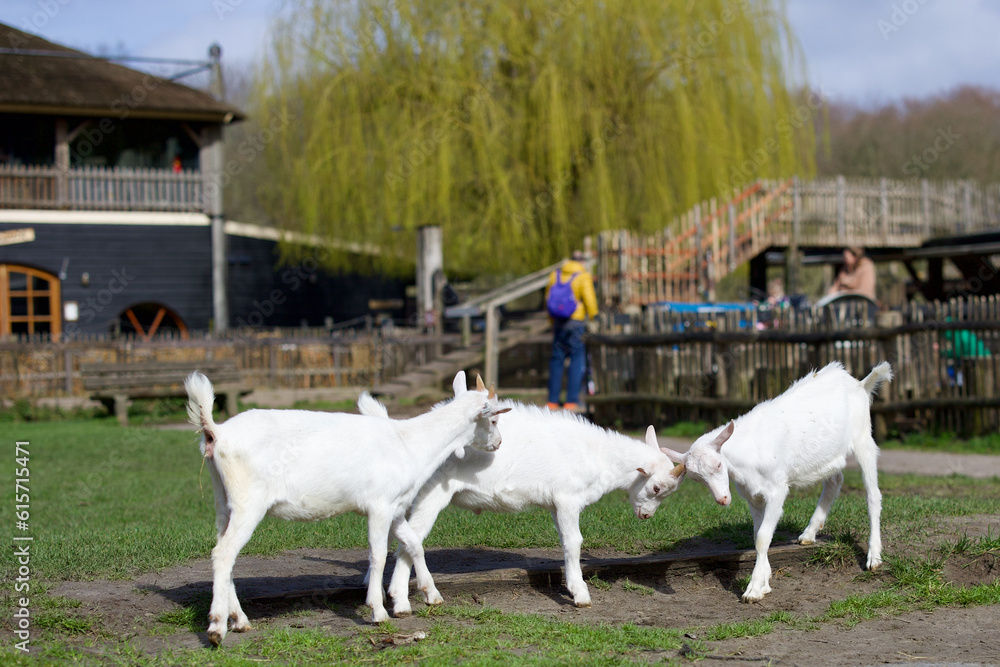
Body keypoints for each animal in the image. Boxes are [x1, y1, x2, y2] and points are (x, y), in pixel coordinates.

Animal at [184, 371, 509, 645]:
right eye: (493, 420)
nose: (499, 443)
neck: (410, 443)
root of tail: (216, 433)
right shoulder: (380, 505)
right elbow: (378, 555)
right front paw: (378, 610)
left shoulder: (395, 508)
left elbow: (414, 544)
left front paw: (431, 595)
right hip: (249, 501)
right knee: (223, 553)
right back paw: (217, 627)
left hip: (223, 500)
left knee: (225, 554)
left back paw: (239, 620)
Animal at [359, 372, 686, 614]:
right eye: (656, 487)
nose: (646, 516)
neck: (598, 456)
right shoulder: (568, 498)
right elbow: (575, 542)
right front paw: (580, 594)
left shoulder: (556, 505)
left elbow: (565, 542)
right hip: (433, 491)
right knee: (411, 539)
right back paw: (405, 600)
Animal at [661, 361, 892, 602]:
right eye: (697, 479)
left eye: (717, 464)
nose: (722, 499)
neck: (748, 453)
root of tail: (859, 383)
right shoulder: (752, 496)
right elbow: (757, 535)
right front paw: (765, 580)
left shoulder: (777, 490)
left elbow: (763, 537)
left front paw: (754, 589)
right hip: (828, 455)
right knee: (834, 480)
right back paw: (809, 533)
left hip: (863, 438)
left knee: (872, 495)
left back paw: (874, 557)